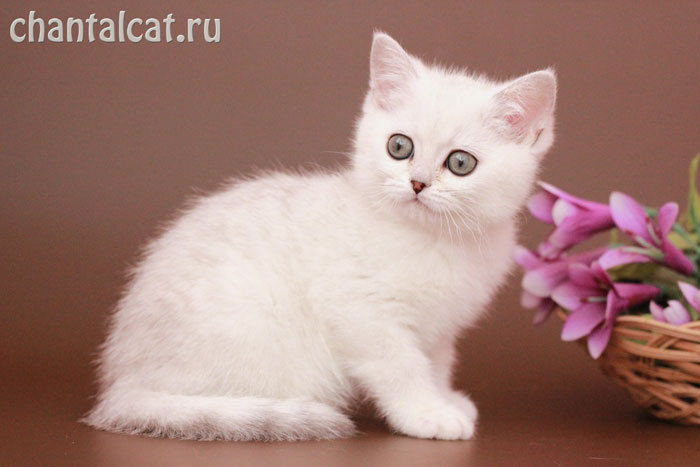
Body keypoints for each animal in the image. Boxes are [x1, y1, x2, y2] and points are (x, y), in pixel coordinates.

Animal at [82, 33, 556, 442]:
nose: (418, 183)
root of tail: (124, 383)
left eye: (460, 163)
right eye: (399, 147)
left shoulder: (438, 330)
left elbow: (436, 364)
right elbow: (401, 367)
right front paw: (426, 413)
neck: (434, 241)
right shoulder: (360, 310)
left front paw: (444, 398)